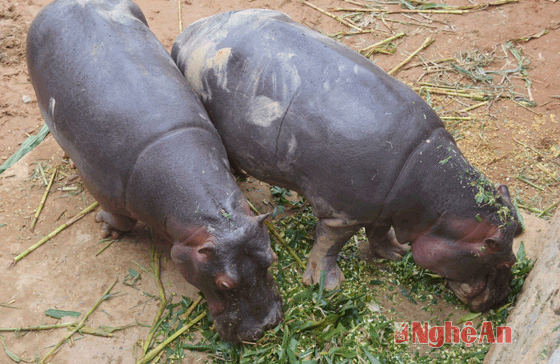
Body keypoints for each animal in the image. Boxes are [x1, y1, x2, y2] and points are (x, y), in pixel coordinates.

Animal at [26, 0, 282, 342]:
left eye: (272, 257)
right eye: (223, 284)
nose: (266, 326)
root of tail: (59, 4)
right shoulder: (105, 189)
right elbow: (120, 218)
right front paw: (105, 228)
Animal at [171, 9, 520, 312]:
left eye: (516, 242)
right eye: (501, 255)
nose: (501, 299)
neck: (439, 201)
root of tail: (189, 33)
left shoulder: (384, 206)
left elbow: (379, 231)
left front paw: (396, 252)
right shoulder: (343, 214)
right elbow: (329, 246)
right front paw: (327, 285)